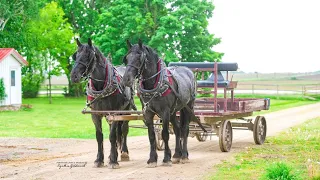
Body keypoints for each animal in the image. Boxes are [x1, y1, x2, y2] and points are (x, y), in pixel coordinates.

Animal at [70, 38, 136, 169]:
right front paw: (100, 159)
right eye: (76, 55)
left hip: (126, 110)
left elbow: (112, 136)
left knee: (124, 129)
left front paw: (113, 161)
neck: (101, 86)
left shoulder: (114, 112)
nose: (74, 76)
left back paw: (124, 153)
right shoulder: (95, 114)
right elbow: (99, 136)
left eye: (88, 56)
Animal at [123, 39, 196, 167]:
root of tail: (188, 71)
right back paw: (176, 155)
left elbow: (165, 134)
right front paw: (152, 159)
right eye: (126, 58)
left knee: (184, 130)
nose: (126, 79)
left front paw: (166, 158)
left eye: (139, 58)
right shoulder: (147, 112)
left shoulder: (165, 112)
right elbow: (151, 135)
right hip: (173, 111)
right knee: (177, 129)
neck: (154, 85)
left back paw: (184, 155)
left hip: (187, 107)